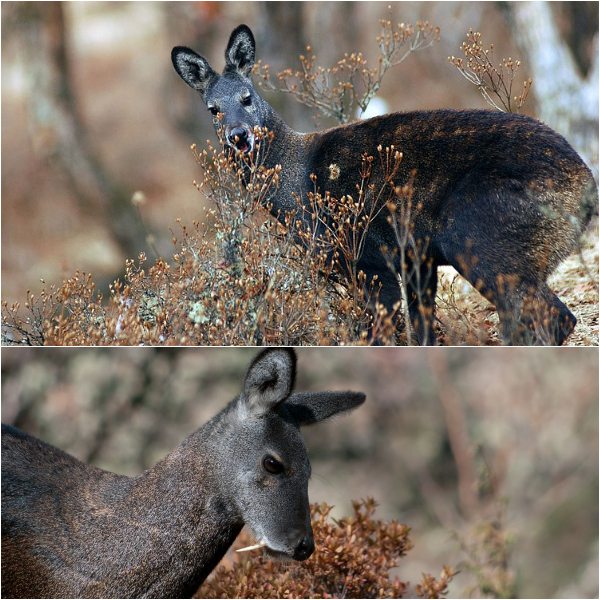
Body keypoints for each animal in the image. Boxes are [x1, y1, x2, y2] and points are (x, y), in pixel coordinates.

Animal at [171, 23, 596, 344]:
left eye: (247, 97)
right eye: (213, 108)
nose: (239, 136)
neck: (296, 186)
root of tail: (585, 189)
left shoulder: (368, 255)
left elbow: (384, 333)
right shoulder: (417, 258)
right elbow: (422, 332)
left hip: (480, 236)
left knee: (550, 317)